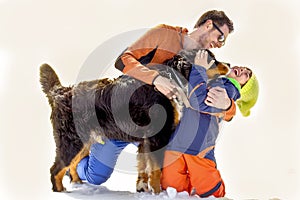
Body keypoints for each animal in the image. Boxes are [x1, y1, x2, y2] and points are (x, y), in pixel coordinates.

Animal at [40, 48, 230, 194]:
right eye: (212, 60)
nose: (228, 64)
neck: (171, 79)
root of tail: (61, 92)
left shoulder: (145, 140)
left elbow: (144, 167)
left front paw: (143, 189)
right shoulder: (157, 136)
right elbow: (156, 170)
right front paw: (159, 193)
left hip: (84, 140)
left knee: (72, 164)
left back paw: (78, 183)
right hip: (72, 141)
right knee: (56, 168)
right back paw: (60, 191)